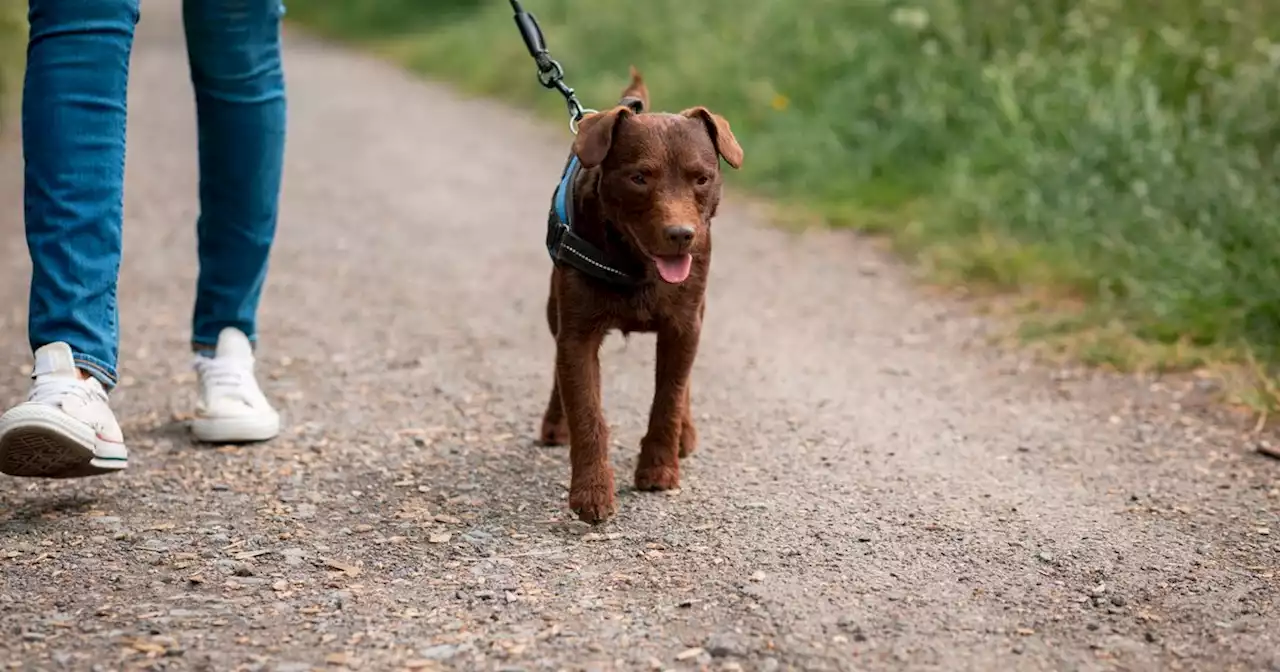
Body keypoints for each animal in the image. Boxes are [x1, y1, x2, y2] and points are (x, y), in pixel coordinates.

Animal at [537, 68, 742, 522]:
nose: (681, 234)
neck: (637, 267)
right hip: (553, 310)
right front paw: (591, 493)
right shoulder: (577, 333)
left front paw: (659, 469)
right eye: (639, 178)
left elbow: (669, 395)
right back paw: (554, 424)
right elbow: (586, 408)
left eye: (702, 178)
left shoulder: (684, 325)